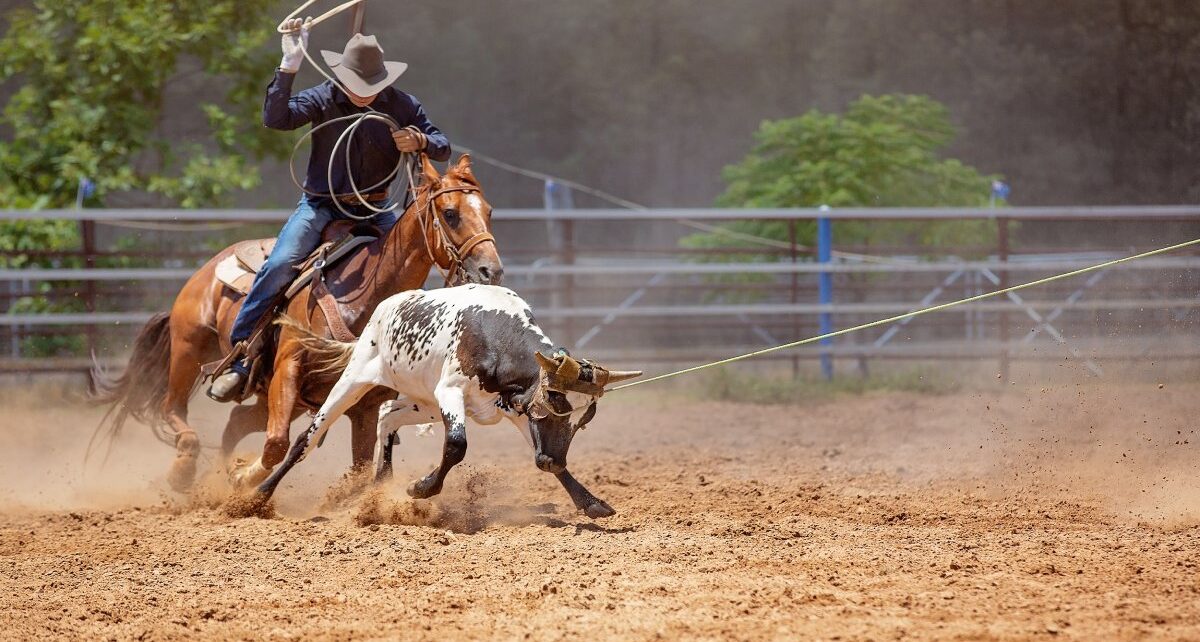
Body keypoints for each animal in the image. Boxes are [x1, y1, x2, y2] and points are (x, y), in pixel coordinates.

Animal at [250, 284, 641, 519]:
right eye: (553, 401)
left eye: (582, 421)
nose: (550, 458)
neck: (495, 333)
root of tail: (386, 307)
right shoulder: (451, 391)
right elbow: (456, 445)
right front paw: (421, 487)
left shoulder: (515, 408)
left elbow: (548, 458)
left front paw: (591, 502)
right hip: (356, 378)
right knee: (308, 438)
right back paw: (257, 496)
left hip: (423, 401)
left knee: (387, 416)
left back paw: (380, 487)